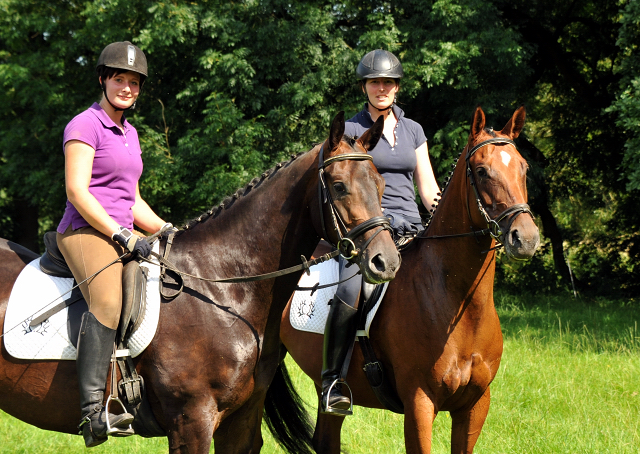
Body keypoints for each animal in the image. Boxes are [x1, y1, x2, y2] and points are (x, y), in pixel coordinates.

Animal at [0, 112, 400, 454]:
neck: (223, 287)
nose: (386, 261)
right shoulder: (191, 421)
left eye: (382, 185)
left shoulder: (240, 423)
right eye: (339, 186)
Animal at [280, 104, 540, 452]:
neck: (459, 303)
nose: (526, 239)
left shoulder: (474, 405)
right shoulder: (420, 402)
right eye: (482, 171)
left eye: (524, 169)